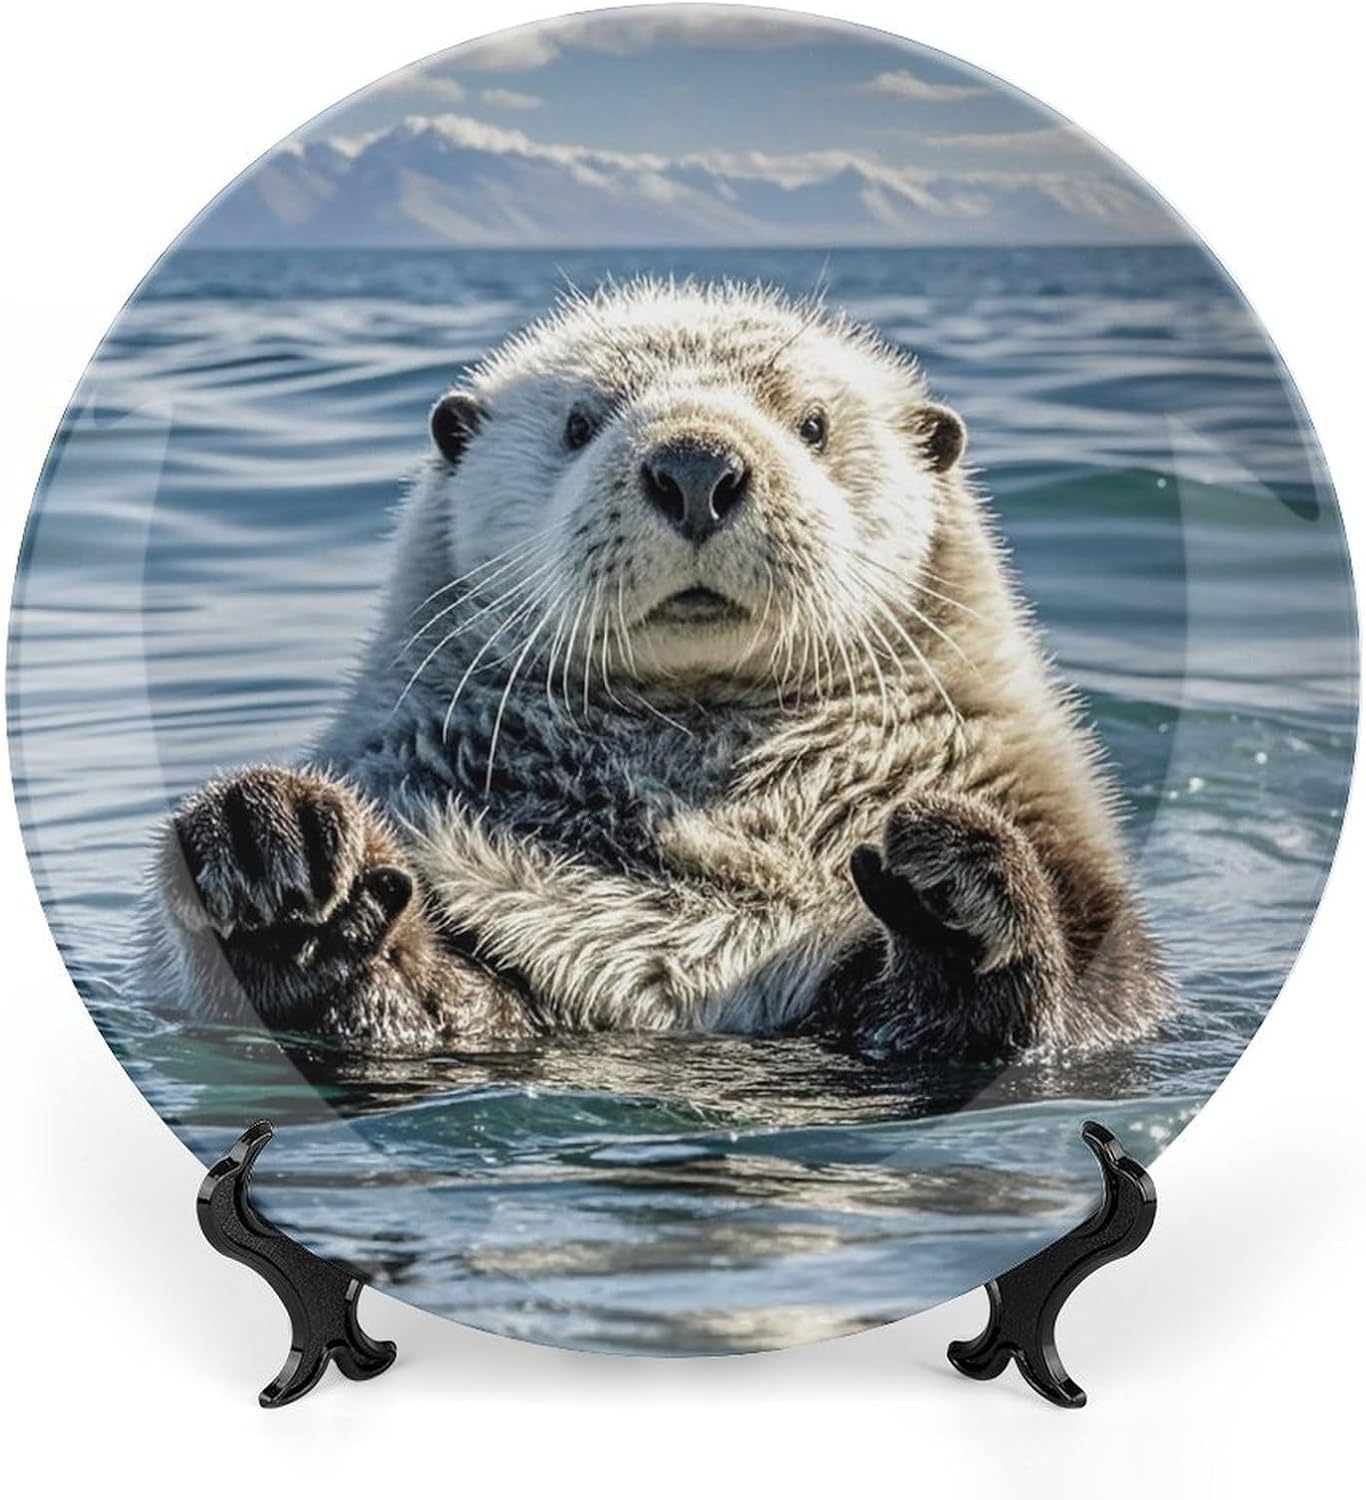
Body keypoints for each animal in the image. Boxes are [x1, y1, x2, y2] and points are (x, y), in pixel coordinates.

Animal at [145, 280, 1170, 1059]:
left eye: (812, 423)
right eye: (577, 423)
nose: (696, 463)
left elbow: (1072, 994)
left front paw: (957, 881)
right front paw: (273, 857)